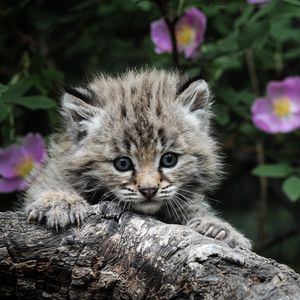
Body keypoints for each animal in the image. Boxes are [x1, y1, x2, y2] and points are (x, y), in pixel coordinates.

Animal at [24, 69, 252, 248]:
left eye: (169, 160)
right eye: (122, 163)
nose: (149, 190)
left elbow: (191, 206)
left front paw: (216, 228)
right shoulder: (55, 167)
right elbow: (52, 183)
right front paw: (60, 202)